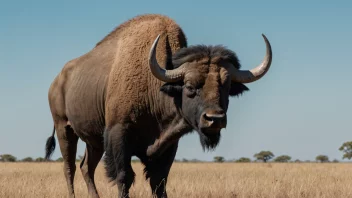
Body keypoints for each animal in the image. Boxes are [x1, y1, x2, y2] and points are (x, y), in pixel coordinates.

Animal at [44, 13, 272, 197]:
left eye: (226, 86)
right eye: (189, 86)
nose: (214, 119)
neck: (157, 87)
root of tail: (57, 80)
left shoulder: (168, 145)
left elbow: (159, 182)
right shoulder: (118, 134)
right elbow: (124, 177)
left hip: (94, 142)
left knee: (86, 167)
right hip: (64, 129)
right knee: (70, 168)